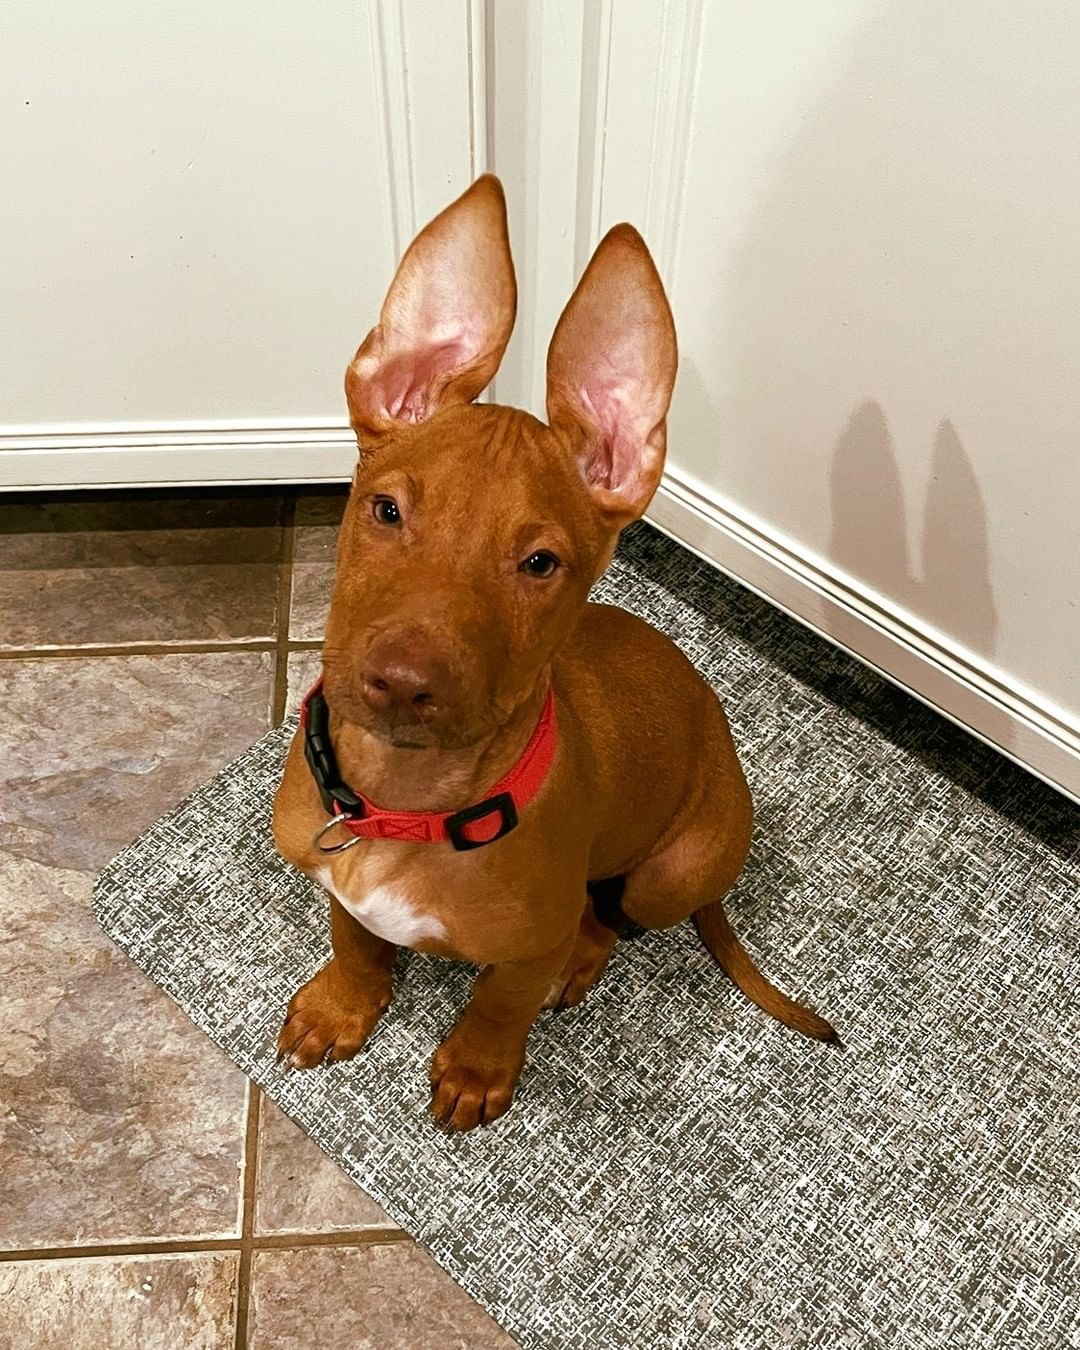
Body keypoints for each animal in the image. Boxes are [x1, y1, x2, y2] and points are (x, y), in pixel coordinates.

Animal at [272, 174, 837, 1134]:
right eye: (386, 510)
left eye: (540, 563)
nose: (400, 685)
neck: (405, 803)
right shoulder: (335, 873)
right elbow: (354, 935)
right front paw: (345, 1003)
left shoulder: (525, 942)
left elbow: (500, 999)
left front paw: (477, 1067)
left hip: (672, 869)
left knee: (611, 919)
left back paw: (580, 957)